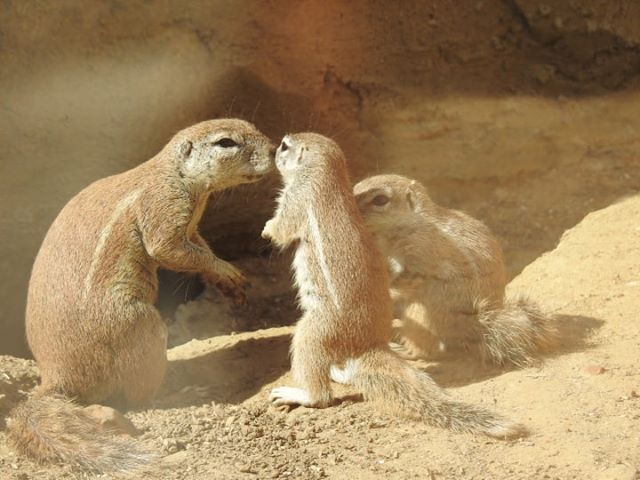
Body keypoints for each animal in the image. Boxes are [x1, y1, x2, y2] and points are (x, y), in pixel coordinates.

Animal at [7, 117, 274, 472]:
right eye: (226, 143)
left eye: (251, 126)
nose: (275, 148)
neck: (174, 174)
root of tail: (55, 377)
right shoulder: (163, 208)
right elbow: (170, 249)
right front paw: (225, 270)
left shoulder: (191, 228)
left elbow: (199, 247)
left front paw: (228, 280)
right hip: (141, 327)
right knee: (138, 399)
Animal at [262, 132, 528, 438]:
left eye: (285, 146)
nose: (272, 150)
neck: (326, 179)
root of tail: (369, 345)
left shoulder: (295, 199)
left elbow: (279, 229)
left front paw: (266, 228)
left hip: (312, 332)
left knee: (321, 395)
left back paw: (299, 394)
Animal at [352, 174, 556, 366]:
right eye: (354, 188)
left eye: (380, 200)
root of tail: (476, 326)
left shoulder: (422, 250)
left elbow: (410, 277)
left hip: (422, 311)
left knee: (427, 348)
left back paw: (404, 348)